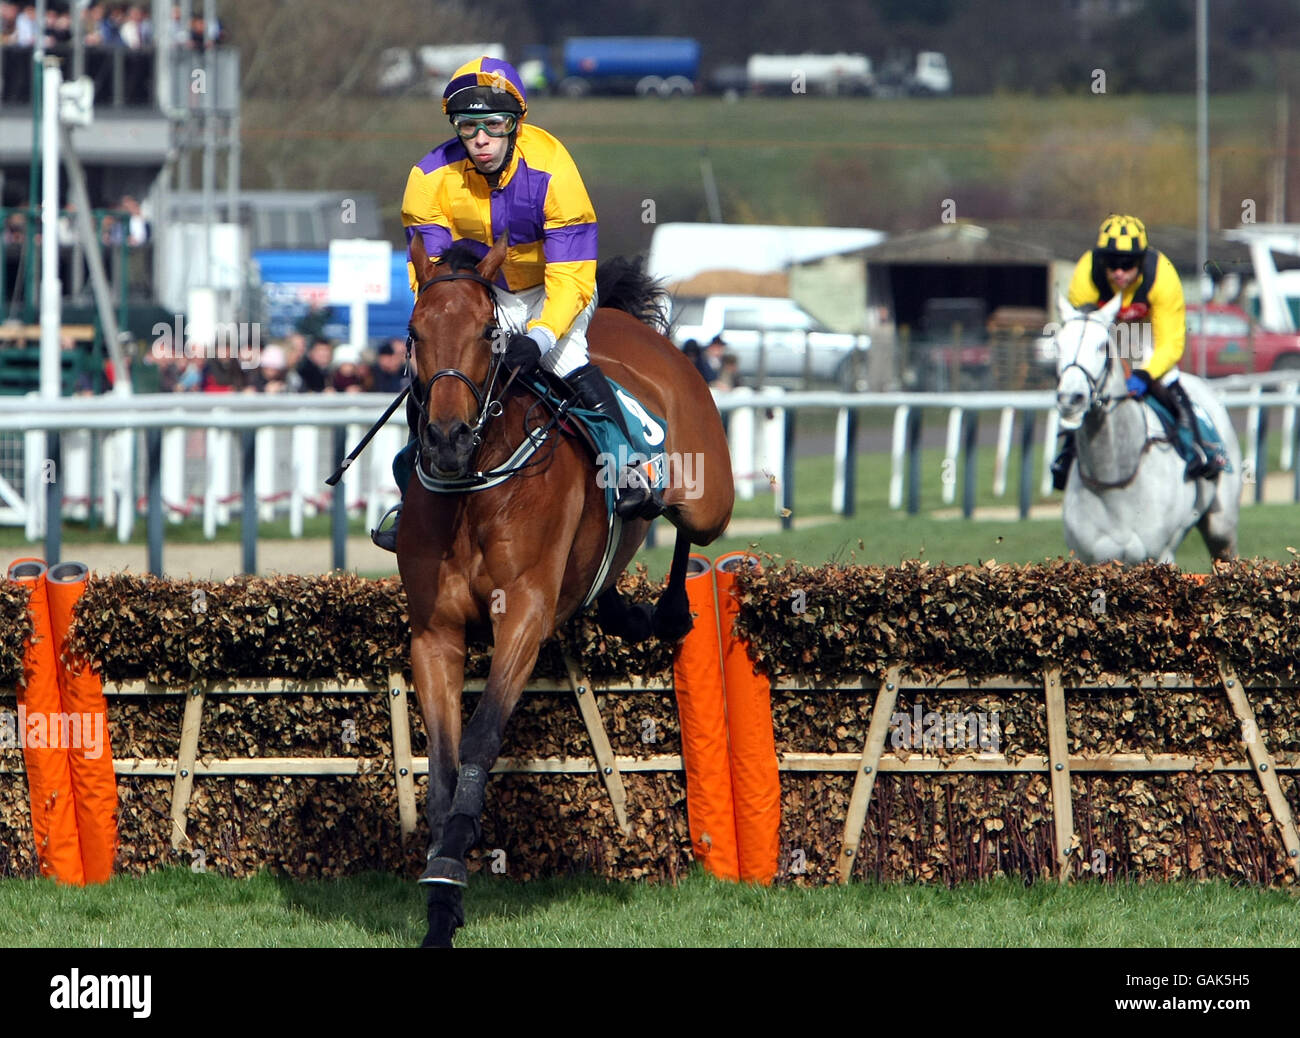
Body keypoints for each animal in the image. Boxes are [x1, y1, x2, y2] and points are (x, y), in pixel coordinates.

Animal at [395, 231, 738, 946]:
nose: (446, 438)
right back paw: (626, 610)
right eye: (414, 332)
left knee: (688, 529)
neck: (474, 489)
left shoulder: (524, 615)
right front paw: (441, 899)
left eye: (488, 334)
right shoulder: (434, 632)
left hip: (706, 498)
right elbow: (441, 759)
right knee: (609, 575)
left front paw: (451, 869)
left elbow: (481, 737)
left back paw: (670, 608)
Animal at [1050, 292, 1242, 564]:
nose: (1071, 399)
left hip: (1222, 527)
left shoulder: (1160, 555)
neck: (1114, 481)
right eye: (1057, 344)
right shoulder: (1089, 559)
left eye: (1102, 346)